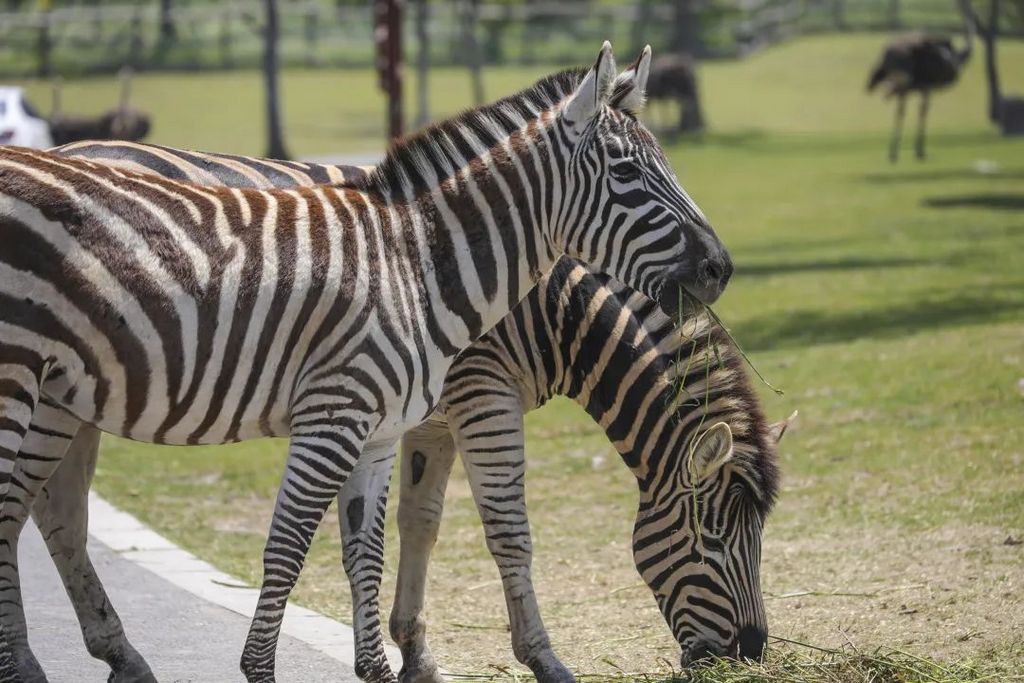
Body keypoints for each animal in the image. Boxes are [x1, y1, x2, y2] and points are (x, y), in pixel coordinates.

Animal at [0, 44, 737, 683]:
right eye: (626, 173)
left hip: (58, 392)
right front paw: (260, 670)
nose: (720, 268)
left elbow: (371, 544)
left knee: (40, 509)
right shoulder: (355, 412)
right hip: (20, 380)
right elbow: (295, 542)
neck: (418, 264)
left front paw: (387, 666)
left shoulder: (383, 428)